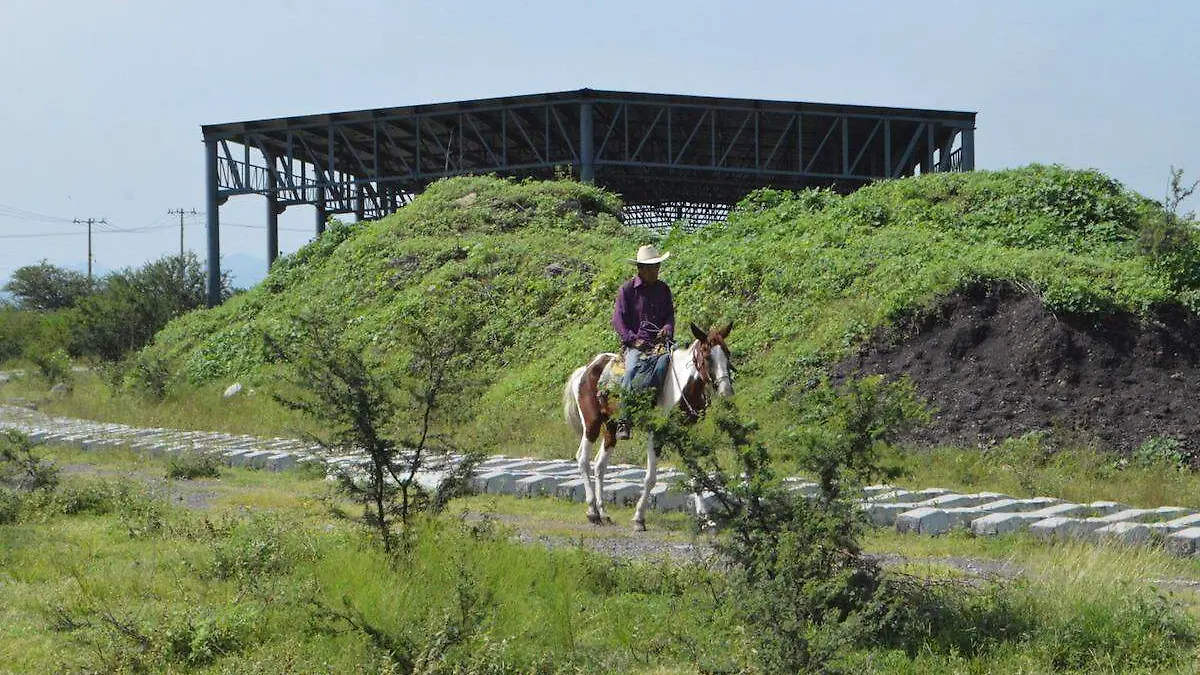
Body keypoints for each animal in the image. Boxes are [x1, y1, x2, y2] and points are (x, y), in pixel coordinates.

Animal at [559, 321, 729, 530]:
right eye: (707, 356)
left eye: (727, 353)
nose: (726, 390)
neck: (678, 386)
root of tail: (586, 369)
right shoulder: (656, 434)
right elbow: (650, 478)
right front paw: (639, 518)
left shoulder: (684, 434)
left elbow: (696, 474)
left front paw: (706, 519)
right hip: (591, 424)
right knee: (583, 459)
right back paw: (592, 512)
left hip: (611, 427)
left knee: (599, 465)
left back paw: (603, 512)